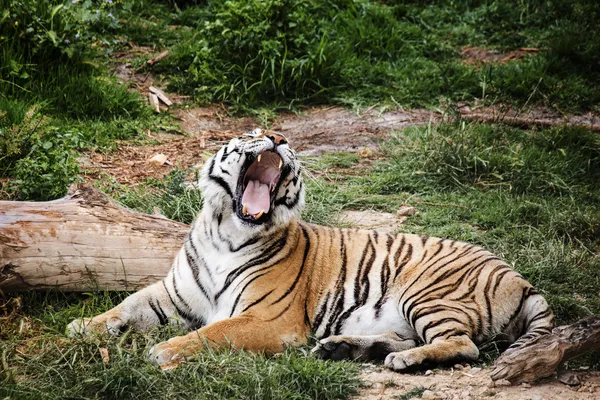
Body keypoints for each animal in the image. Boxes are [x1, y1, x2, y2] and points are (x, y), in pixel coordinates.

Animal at [68, 130, 556, 372]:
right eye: (253, 131)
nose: (279, 137)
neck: (226, 232)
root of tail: (518, 275)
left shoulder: (267, 319)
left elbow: (213, 332)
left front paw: (165, 351)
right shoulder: (172, 294)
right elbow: (127, 306)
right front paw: (83, 326)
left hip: (428, 294)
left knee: (463, 346)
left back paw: (402, 360)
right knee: (415, 337)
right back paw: (341, 349)